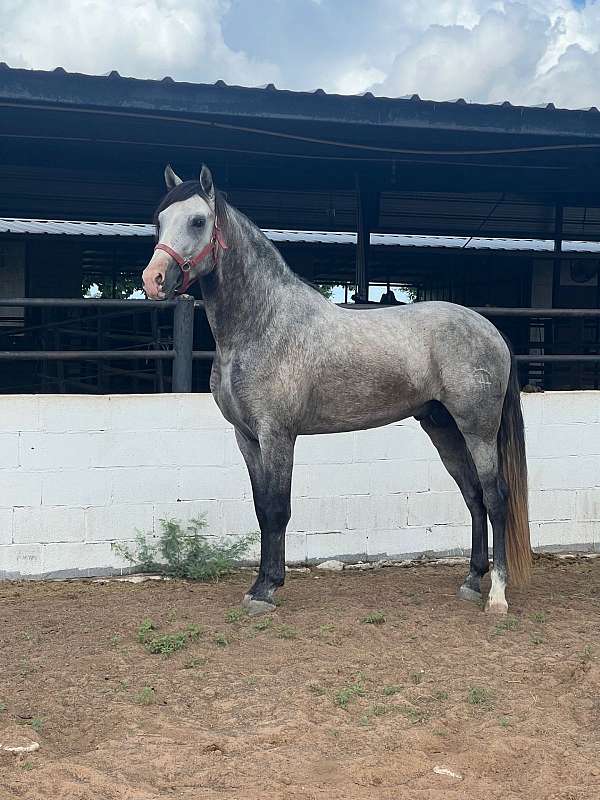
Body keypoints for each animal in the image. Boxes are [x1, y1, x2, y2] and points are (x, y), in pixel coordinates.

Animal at [142, 164, 531, 616]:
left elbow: (277, 509)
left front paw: (267, 590)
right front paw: (258, 585)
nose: (153, 280)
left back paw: (498, 595)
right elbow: (260, 509)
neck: (262, 324)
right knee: (473, 496)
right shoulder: (247, 438)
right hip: (442, 427)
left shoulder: (278, 435)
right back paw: (471, 581)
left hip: (478, 430)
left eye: (198, 221)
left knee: (496, 497)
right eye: (159, 220)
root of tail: (490, 329)